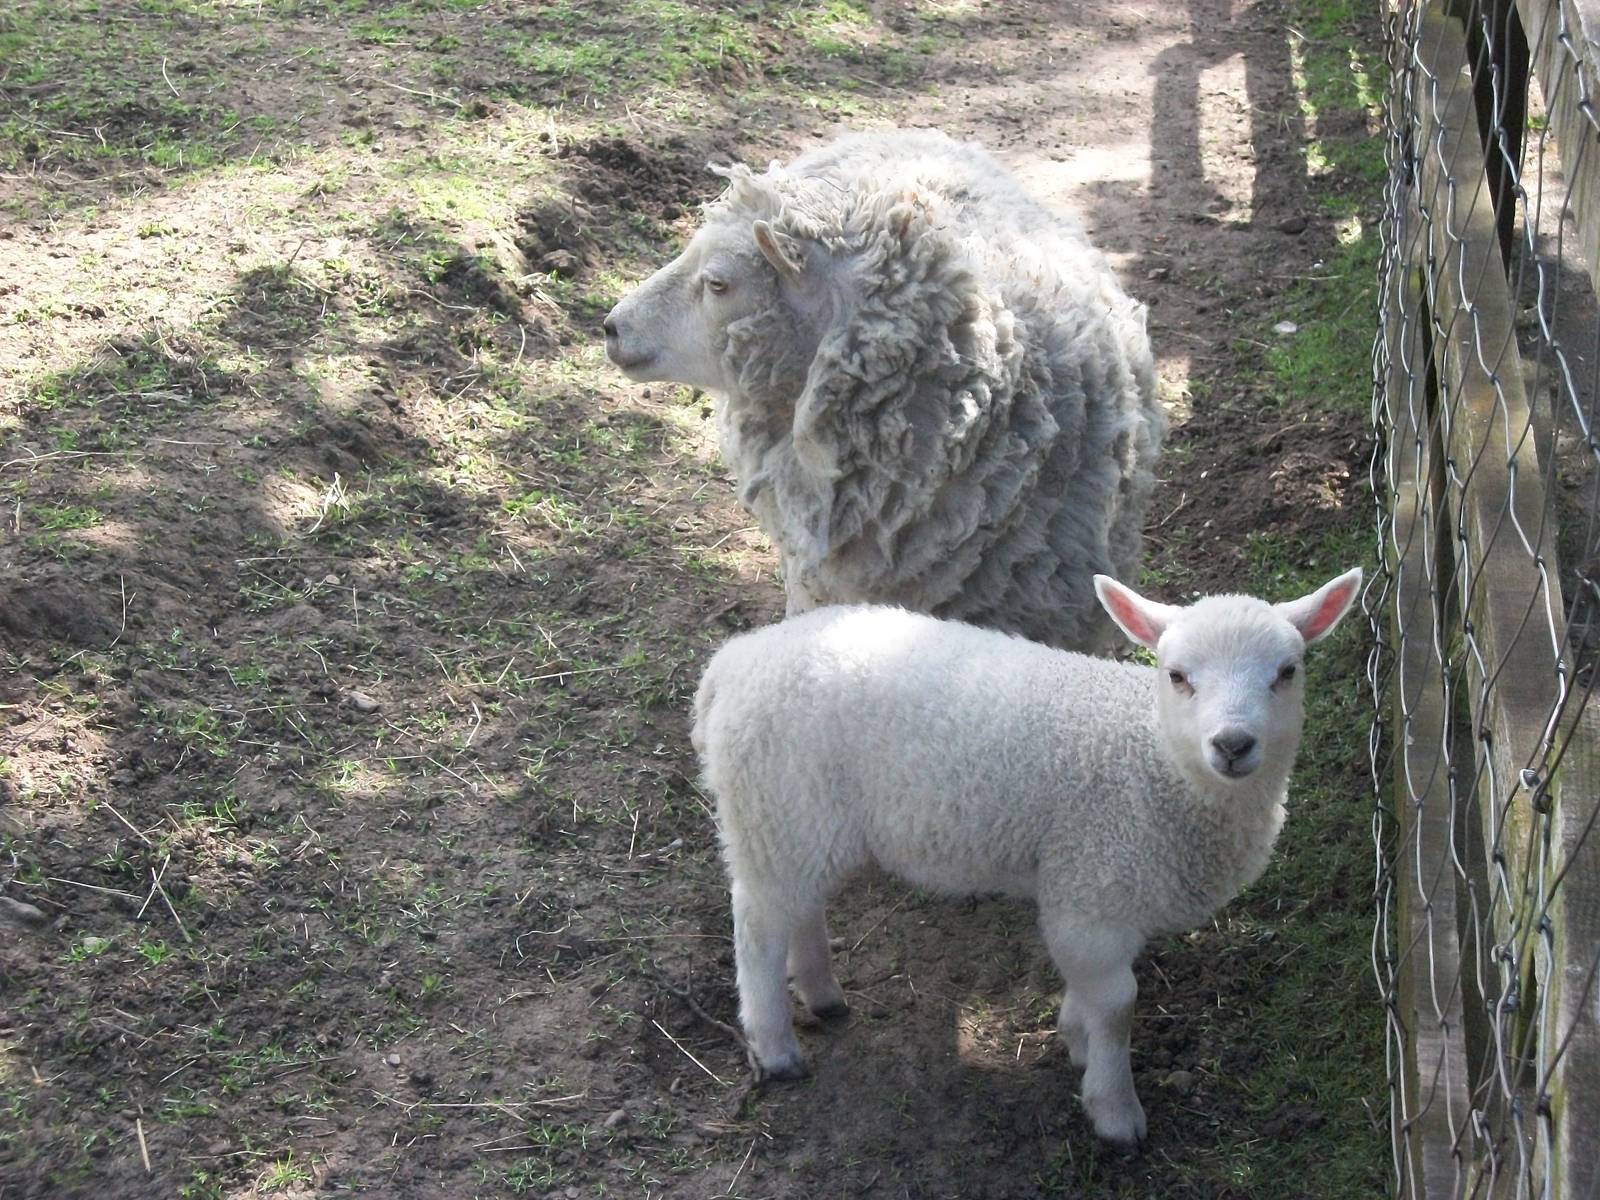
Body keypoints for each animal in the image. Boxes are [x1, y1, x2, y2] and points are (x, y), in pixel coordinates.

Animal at [690, 567, 1362, 1148]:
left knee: (799, 906)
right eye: (1177, 676)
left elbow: (1092, 992)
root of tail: (733, 663)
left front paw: (1075, 1039)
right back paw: (775, 1046)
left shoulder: (1097, 888)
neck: (1155, 764)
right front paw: (1115, 1110)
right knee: (758, 926)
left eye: (1287, 671)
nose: (1233, 744)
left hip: (797, 820)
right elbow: (1118, 1005)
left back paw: (822, 993)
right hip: (774, 805)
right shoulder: (1094, 883)